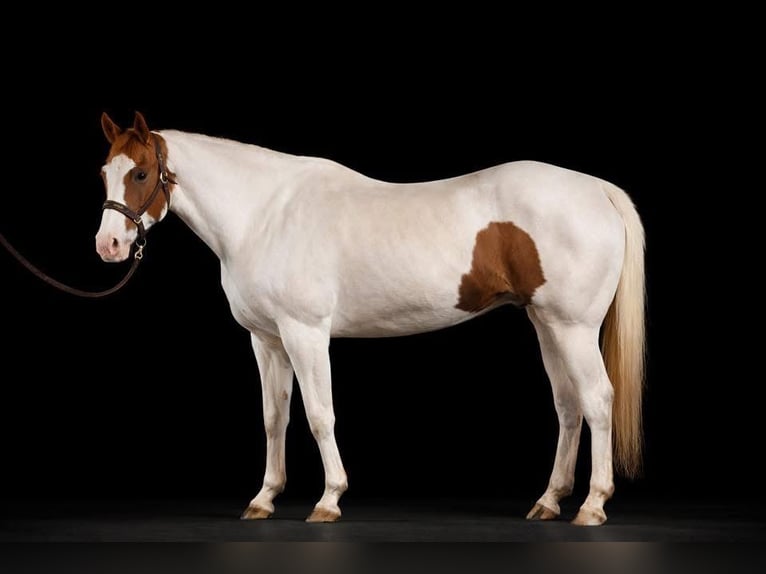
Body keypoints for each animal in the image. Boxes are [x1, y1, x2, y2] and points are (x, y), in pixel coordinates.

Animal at [96, 111, 645, 526]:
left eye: (140, 173)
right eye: (104, 173)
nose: (109, 246)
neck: (264, 216)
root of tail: (596, 189)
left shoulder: (305, 333)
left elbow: (320, 415)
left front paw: (328, 499)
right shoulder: (266, 340)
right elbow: (275, 417)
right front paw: (264, 498)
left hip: (574, 328)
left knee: (598, 400)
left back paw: (592, 506)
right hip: (546, 324)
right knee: (568, 406)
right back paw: (549, 501)